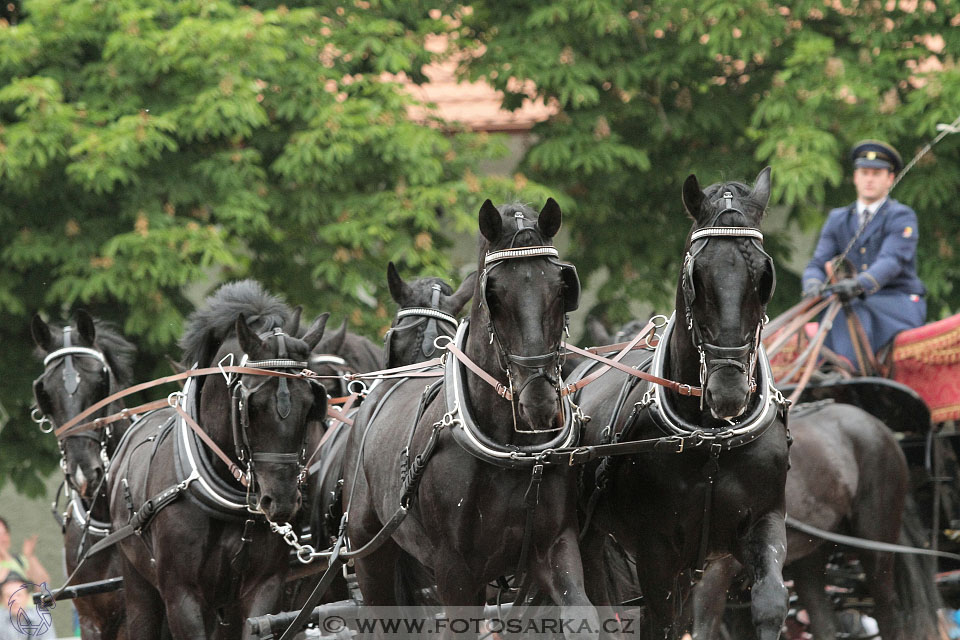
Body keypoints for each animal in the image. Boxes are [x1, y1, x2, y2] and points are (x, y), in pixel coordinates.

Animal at [107, 282, 328, 636]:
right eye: (252, 407)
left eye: (311, 405)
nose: (281, 501)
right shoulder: (181, 594)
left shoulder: (264, 587)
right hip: (138, 585)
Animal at [342, 201, 596, 636]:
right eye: (493, 294)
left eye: (561, 289)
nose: (539, 401)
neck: (512, 450)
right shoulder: (455, 569)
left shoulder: (554, 546)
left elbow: (584, 614)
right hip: (370, 552)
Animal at [572, 170, 792, 640]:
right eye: (696, 276)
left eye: (764, 276)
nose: (728, 391)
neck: (711, 439)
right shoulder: (657, 550)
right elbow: (661, 622)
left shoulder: (762, 524)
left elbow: (769, 603)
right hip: (591, 539)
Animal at [692, 400, 940, 640]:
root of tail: (879, 426)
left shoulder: (714, 576)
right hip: (809, 554)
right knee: (824, 622)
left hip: (877, 543)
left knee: (889, 616)